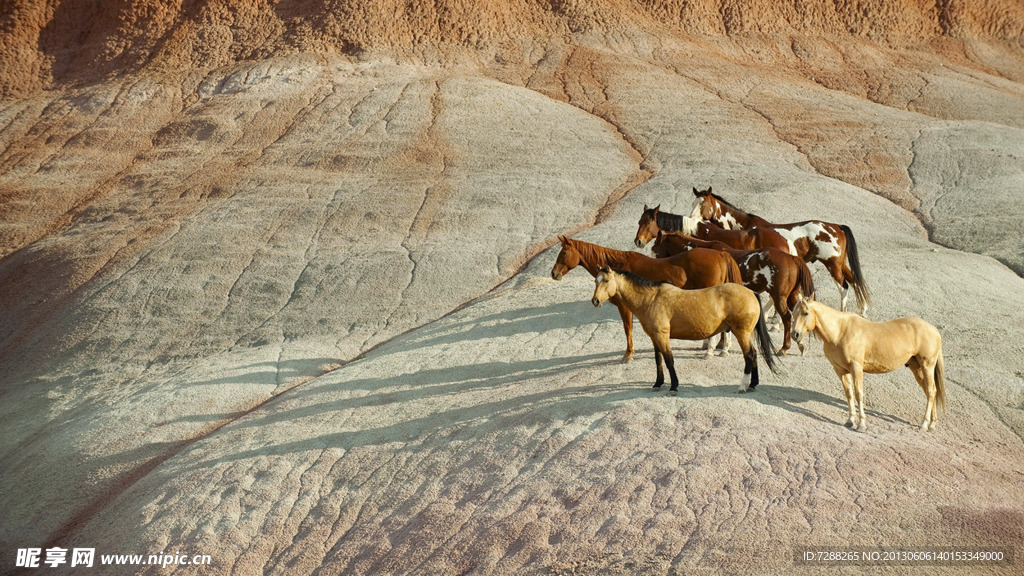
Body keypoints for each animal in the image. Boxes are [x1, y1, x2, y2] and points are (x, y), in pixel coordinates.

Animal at [552, 231, 745, 358]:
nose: (554, 273)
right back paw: (722, 348)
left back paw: (712, 350)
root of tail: (720, 254)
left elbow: (627, 328)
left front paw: (628, 354)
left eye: (564, 253)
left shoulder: (624, 308)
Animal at [589, 266, 778, 391]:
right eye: (595, 281)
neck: (651, 299)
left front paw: (673, 386)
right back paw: (753, 384)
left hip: (741, 333)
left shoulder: (662, 336)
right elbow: (658, 360)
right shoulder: (654, 337)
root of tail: (751, 293)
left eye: (606, 280)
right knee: (754, 354)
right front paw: (658, 383)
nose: (595, 301)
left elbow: (669, 360)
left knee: (750, 355)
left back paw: (743, 385)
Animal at [655, 228, 815, 354]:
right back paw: (799, 342)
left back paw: (784, 347)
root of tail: (792, 258)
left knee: (787, 317)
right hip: (791, 297)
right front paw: (720, 344)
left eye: (656, 250)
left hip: (779, 296)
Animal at [786, 295, 946, 430]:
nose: (795, 334)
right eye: (793, 312)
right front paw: (850, 421)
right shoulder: (840, 370)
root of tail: (935, 330)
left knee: (931, 391)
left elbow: (858, 393)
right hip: (916, 368)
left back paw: (924, 425)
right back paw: (932, 424)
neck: (840, 331)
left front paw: (861, 425)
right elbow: (849, 394)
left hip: (927, 366)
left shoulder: (856, 367)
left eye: (805, 313)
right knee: (931, 391)